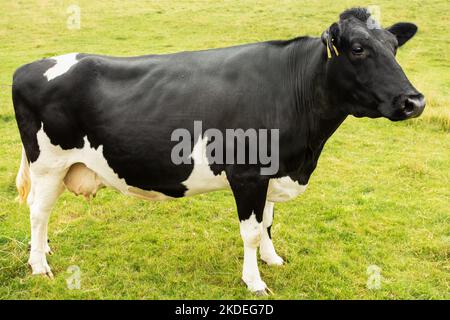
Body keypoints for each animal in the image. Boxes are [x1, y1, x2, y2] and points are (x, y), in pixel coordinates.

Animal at [11, 8, 426, 296]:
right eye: (357, 49)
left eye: (394, 47)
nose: (415, 101)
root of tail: (30, 66)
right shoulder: (247, 175)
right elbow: (252, 231)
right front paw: (255, 281)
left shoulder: (273, 171)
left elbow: (269, 222)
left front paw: (273, 259)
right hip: (48, 163)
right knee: (38, 211)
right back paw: (38, 265)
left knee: (43, 213)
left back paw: (44, 251)